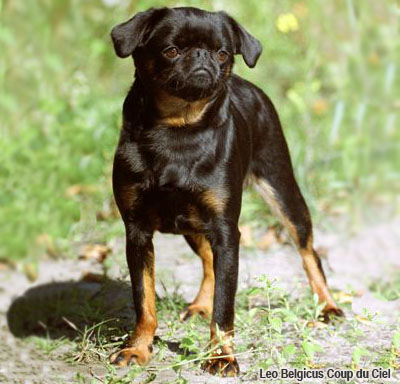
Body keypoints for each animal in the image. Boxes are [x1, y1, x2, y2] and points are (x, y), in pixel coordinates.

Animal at [110, 7, 344, 376]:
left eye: (222, 53)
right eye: (171, 51)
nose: (203, 58)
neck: (178, 129)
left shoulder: (226, 231)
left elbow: (225, 305)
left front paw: (221, 355)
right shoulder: (137, 232)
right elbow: (144, 300)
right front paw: (138, 348)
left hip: (283, 191)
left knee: (308, 251)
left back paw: (327, 305)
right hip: (192, 225)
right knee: (208, 261)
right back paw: (200, 305)